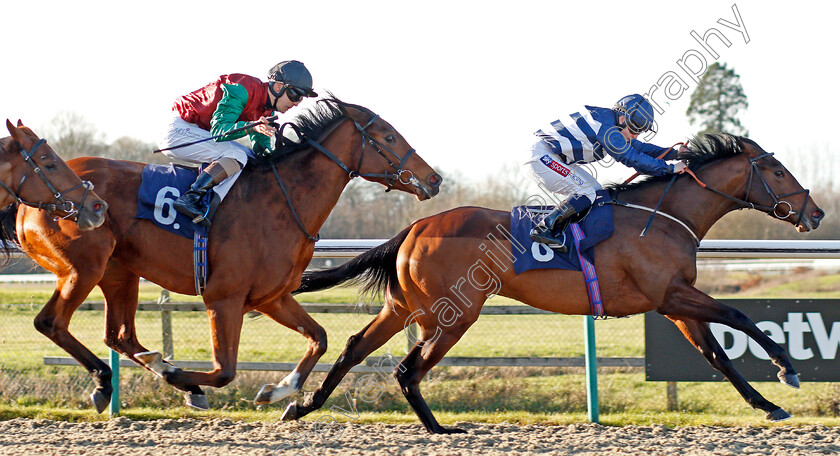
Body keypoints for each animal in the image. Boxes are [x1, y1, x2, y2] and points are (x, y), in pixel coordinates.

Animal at [0, 98, 442, 412]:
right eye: (388, 137)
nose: (434, 178)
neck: (282, 200)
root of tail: (23, 203)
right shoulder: (223, 298)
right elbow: (225, 371)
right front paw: (181, 375)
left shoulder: (270, 297)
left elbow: (319, 337)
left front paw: (278, 390)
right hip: (83, 266)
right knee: (51, 321)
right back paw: (109, 381)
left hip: (119, 273)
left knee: (120, 335)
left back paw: (161, 373)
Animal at [286, 134, 824, 432]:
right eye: (778, 171)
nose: (815, 214)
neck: (664, 215)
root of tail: (414, 226)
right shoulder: (670, 293)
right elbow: (739, 315)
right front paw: (787, 370)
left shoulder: (673, 302)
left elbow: (716, 354)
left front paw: (768, 405)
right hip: (452, 314)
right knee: (408, 369)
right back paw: (439, 430)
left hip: (405, 306)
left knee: (355, 347)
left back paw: (303, 406)